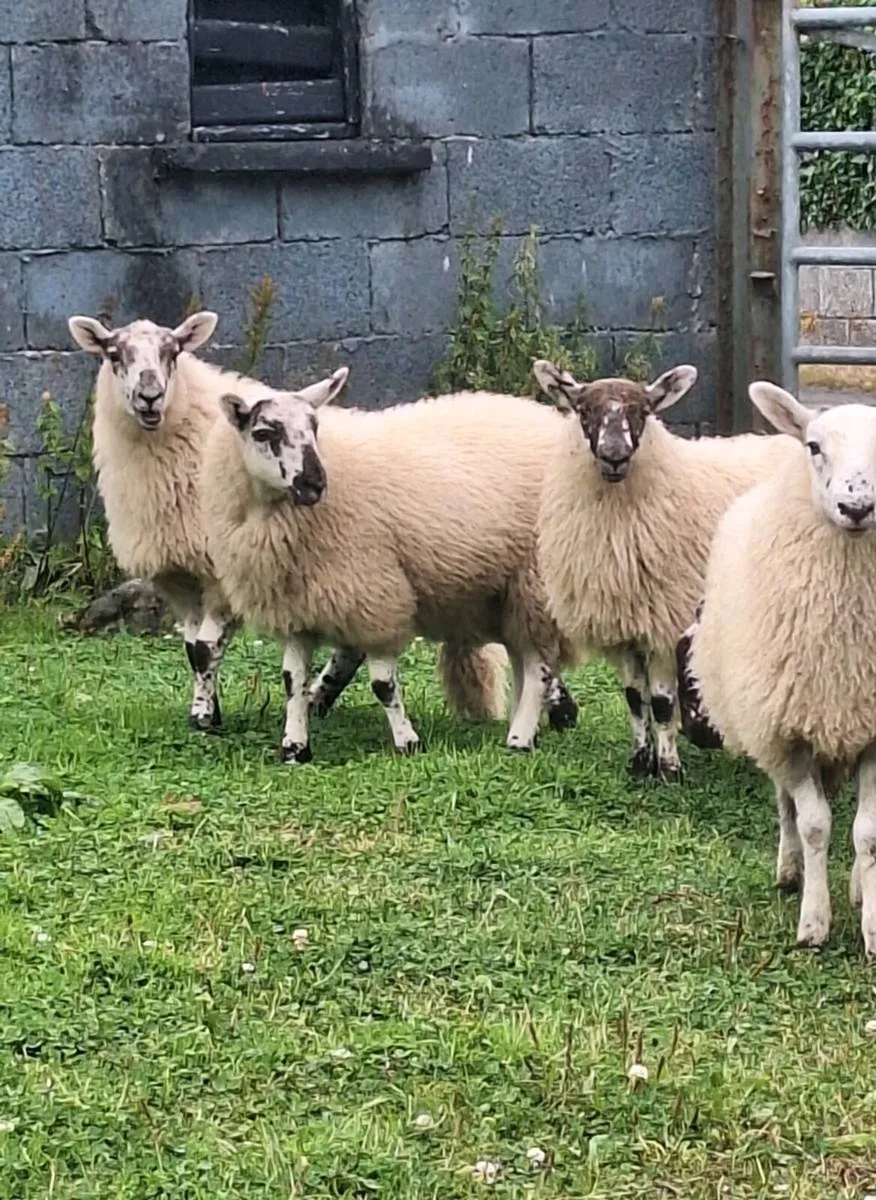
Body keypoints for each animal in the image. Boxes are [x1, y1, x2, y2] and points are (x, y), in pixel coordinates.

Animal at [67, 311, 367, 730]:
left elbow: (207, 648)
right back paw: (318, 700)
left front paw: (205, 719)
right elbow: (192, 648)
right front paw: (206, 706)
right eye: (113, 354)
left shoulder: (223, 572)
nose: (150, 395)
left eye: (172, 352)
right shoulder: (178, 576)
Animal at [200, 380, 580, 763]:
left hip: (535, 582)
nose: (314, 484)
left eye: (314, 426)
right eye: (263, 432)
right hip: (509, 593)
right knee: (524, 658)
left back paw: (520, 738)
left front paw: (407, 742)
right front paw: (295, 747)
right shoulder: (298, 609)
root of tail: (550, 419)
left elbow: (382, 685)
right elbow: (293, 681)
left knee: (538, 667)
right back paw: (525, 726)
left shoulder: (376, 600)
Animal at [533, 359, 800, 782]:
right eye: (583, 411)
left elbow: (659, 702)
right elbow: (634, 699)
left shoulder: (663, 621)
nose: (614, 455)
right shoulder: (625, 627)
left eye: (643, 411)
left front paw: (670, 769)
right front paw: (640, 764)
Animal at [690, 384, 876, 956]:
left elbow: (868, 833)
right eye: (813, 446)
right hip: (765, 722)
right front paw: (814, 923)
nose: (856, 507)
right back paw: (790, 870)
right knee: (786, 805)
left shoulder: (874, 733)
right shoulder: (789, 734)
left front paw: (872, 927)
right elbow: (815, 824)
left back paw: (856, 887)